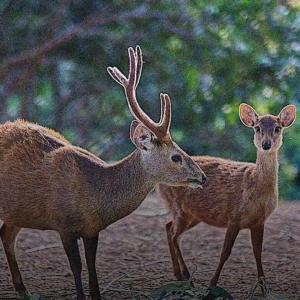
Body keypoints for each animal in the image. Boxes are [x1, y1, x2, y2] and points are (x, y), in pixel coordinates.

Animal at [0, 45, 206, 298]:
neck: (96, 195)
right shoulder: (63, 223)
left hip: (18, 210)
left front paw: (96, 294)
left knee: (6, 235)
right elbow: (76, 267)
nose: (203, 177)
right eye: (176, 157)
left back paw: (22, 289)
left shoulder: (92, 229)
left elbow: (92, 267)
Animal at [158, 103, 296, 292]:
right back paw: (187, 278)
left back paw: (179, 275)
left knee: (168, 227)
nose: (266, 144)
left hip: (193, 214)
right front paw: (212, 284)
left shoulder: (259, 221)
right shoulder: (234, 216)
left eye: (278, 128)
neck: (256, 188)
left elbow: (258, 252)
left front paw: (263, 288)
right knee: (173, 235)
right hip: (180, 208)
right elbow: (225, 252)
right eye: (257, 128)